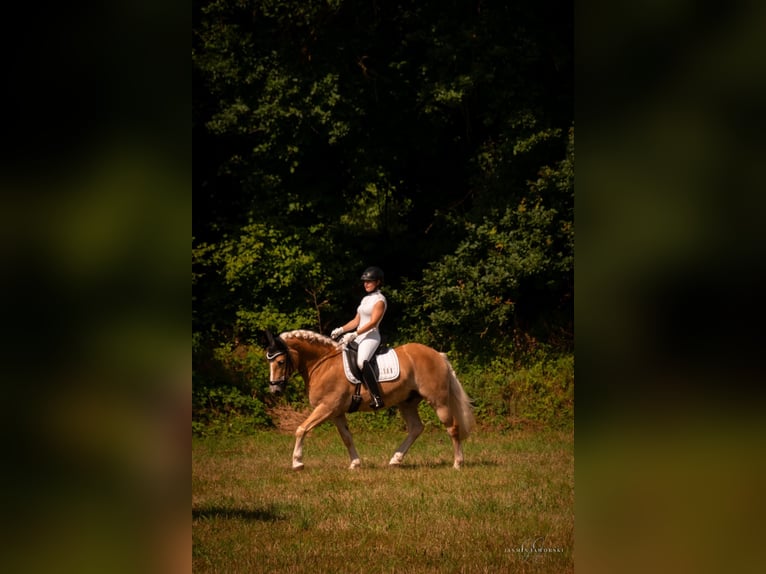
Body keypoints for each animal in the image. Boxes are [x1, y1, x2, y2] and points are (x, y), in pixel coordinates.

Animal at [268, 328, 476, 472]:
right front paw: (355, 464)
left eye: (280, 362)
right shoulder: (336, 413)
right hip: (406, 403)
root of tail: (438, 355)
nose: (274, 390)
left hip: (438, 401)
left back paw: (457, 464)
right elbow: (347, 437)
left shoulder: (326, 408)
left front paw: (297, 463)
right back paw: (395, 460)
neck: (323, 364)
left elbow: (301, 429)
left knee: (452, 428)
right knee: (416, 428)